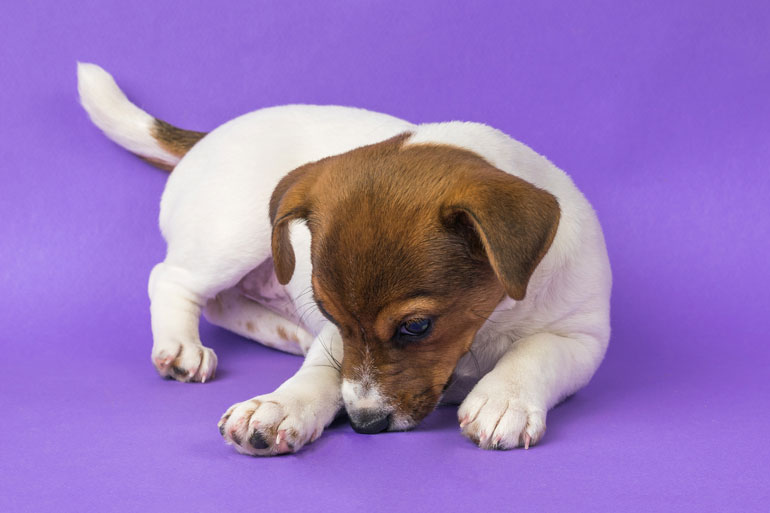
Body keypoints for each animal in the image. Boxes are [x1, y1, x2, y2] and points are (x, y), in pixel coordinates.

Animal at [77, 63, 611, 455]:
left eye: (416, 326)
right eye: (330, 313)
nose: (364, 423)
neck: (487, 323)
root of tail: (208, 137)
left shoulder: (583, 339)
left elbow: (534, 352)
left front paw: (503, 399)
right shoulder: (337, 341)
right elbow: (324, 371)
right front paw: (281, 405)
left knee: (222, 304)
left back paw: (285, 332)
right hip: (231, 235)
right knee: (172, 280)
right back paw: (181, 346)